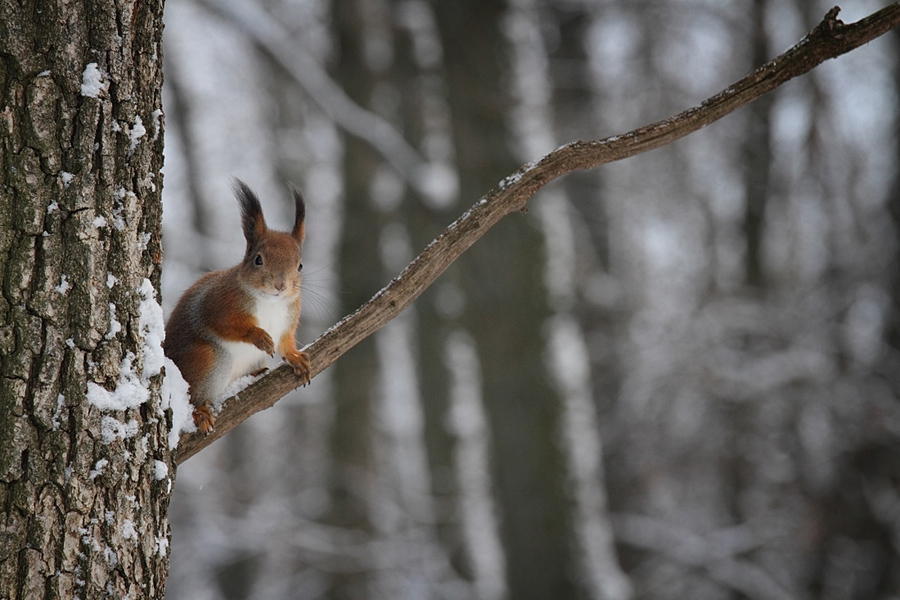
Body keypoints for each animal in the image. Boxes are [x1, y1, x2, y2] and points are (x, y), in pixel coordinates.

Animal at [163, 180, 312, 434]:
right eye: (258, 259)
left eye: (300, 265)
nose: (280, 285)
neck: (269, 302)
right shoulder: (218, 304)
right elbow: (226, 326)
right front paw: (259, 336)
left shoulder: (287, 320)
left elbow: (286, 342)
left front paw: (296, 358)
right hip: (208, 359)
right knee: (191, 395)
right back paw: (199, 412)